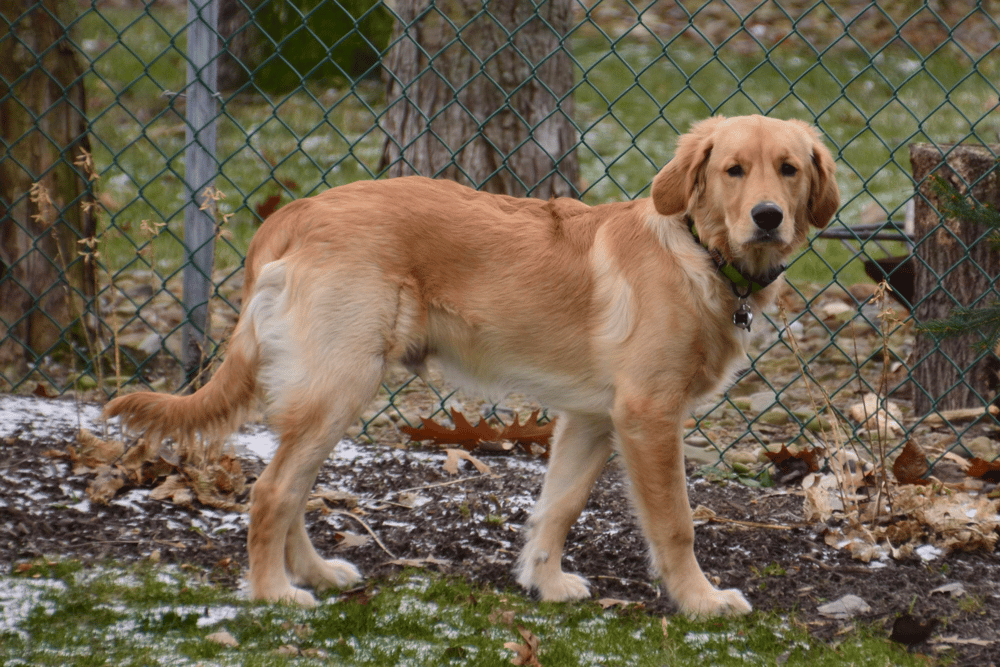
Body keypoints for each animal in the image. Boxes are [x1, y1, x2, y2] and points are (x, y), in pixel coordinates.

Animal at [103, 116, 836, 620]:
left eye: (788, 169)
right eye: (734, 170)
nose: (768, 217)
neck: (699, 254)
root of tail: (294, 212)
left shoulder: (590, 418)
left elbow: (559, 505)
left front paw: (544, 580)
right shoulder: (648, 416)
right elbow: (677, 524)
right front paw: (700, 600)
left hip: (328, 391)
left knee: (292, 490)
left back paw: (311, 573)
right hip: (341, 383)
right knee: (272, 492)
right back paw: (272, 592)